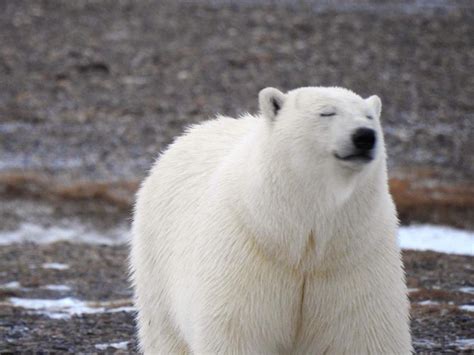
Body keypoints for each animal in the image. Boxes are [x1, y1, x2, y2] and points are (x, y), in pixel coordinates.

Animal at [130, 87, 412, 355]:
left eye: (369, 116)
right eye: (327, 112)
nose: (364, 136)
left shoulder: (354, 259)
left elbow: (363, 334)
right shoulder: (247, 253)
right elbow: (236, 332)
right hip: (157, 266)